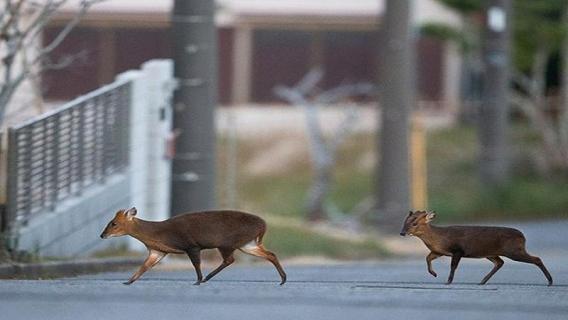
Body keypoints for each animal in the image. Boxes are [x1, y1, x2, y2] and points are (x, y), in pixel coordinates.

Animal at [99, 208, 286, 284]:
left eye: (114, 223)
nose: (102, 235)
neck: (158, 234)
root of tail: (263, 225)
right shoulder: (158, 251)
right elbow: (145, 266)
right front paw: (128, 281)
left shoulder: (191, 245)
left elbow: (196, 263)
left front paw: (198, 279)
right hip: (247, 244)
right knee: (271, 254)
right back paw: (283, 279)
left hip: (227, 242)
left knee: (229, 260)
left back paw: (206, 278)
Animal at [400, 210, 552, 284]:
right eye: (405, 221)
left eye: (414, 223)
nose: (402, 233)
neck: (439, 238)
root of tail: (523, 236)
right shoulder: (439, 251)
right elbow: (427, 258)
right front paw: (434, 274)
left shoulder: (458, 250)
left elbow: (453, 266)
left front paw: (448, 281)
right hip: (491, 253)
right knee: (500, 262)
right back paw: (482, 281)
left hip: (514, 250)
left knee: (537, 258)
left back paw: (550, 281)